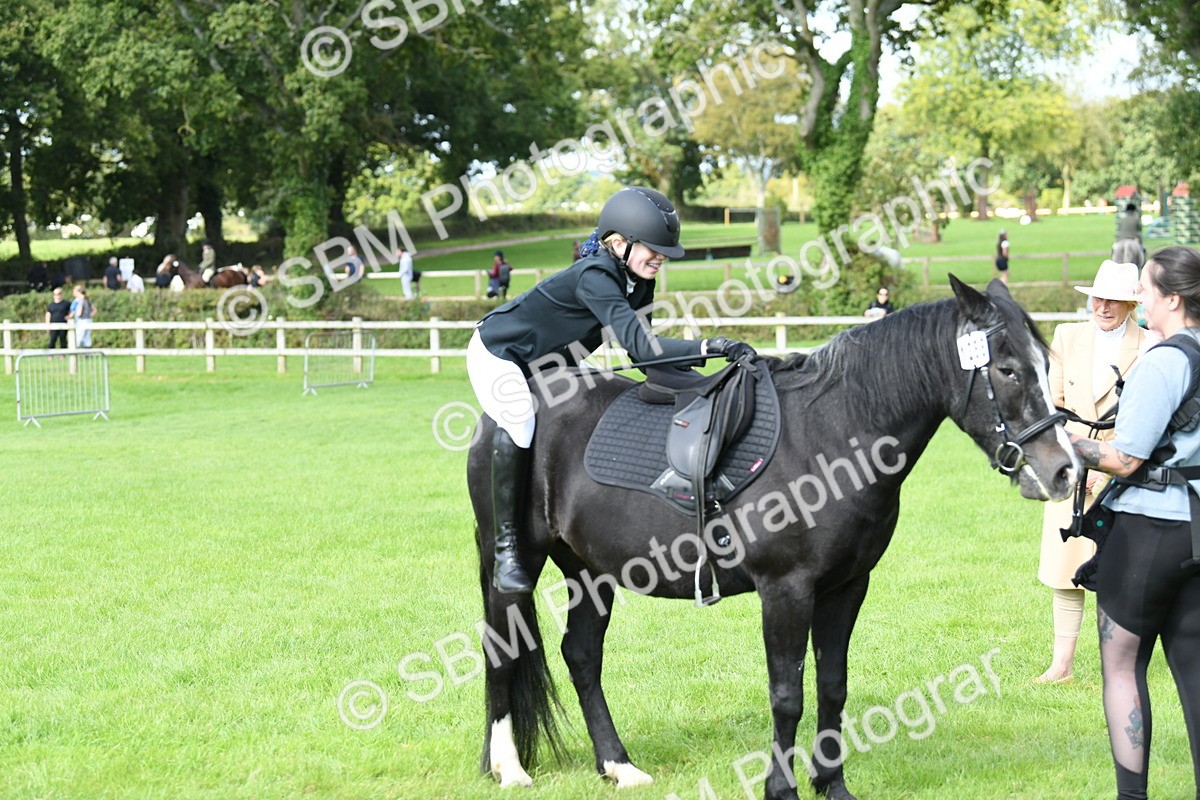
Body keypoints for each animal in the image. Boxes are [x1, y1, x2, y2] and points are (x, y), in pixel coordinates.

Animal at [467, 277, 1079, 800]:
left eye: (1047, 365)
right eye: (1007, 370)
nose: (1064, 471)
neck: (832, 434)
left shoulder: (846, 588)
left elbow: (832, 686)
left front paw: (831, 784)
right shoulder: (785, 591)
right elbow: (788, 695)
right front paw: (781, 787)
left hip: (590, 571)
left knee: (582, 655)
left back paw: (618, 766)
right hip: (515, 567)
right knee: (501, 653)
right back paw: (509, 767)